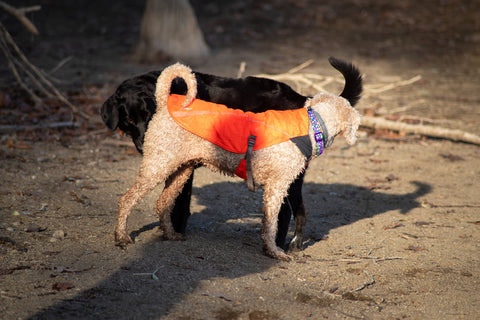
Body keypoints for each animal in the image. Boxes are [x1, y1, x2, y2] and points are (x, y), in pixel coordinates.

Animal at [102, 56, 364, 249]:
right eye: (127, 120)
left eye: (146, 114)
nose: (141, 143)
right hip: (164, 166)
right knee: (129, 199)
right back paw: (123, 236)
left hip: (179, 169)